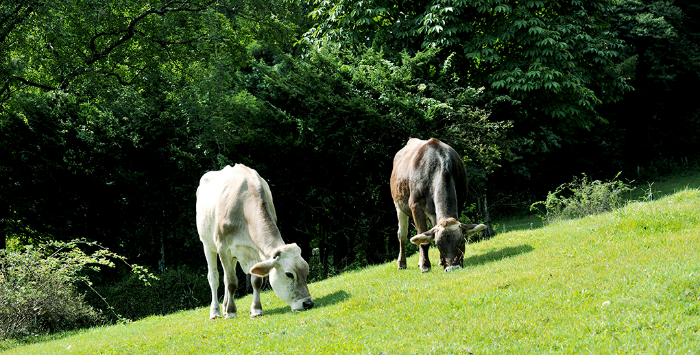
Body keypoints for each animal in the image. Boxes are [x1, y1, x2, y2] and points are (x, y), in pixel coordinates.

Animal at [198, 165, 316, 320]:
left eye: (306, 270)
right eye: (289, 274)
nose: (308, 303)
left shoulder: (256, 251)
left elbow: (256, 281)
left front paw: (256, 309)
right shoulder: (223, 248)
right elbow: (232, 282)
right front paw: (231, 312)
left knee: (224, 278)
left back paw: (224, 307)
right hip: (207, 245)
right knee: (214, 278)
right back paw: (216, 312)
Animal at [388, 138, 486, 272]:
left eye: (461, 242)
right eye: (438, 244)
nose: (453, 267)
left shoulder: (460, 201)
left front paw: (437, 262)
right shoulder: (416, 206)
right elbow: (423, 240)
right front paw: (425, 266)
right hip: (399, 206)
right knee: (402, 234)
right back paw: (402, 263)